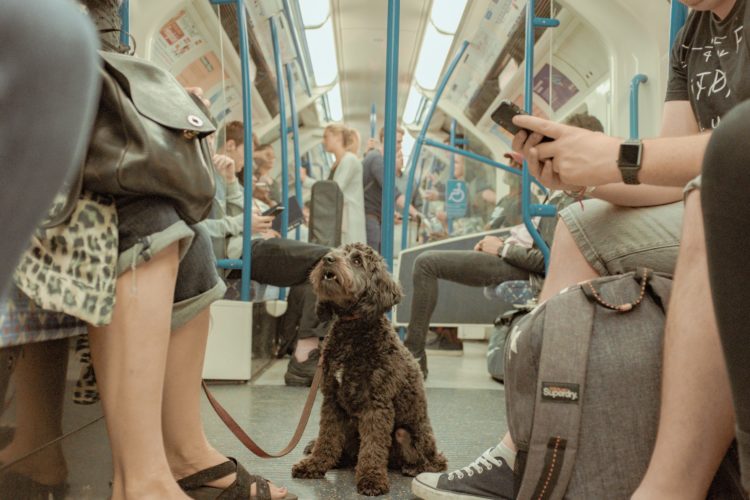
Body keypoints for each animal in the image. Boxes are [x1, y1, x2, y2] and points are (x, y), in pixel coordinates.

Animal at [292, 243, 446, 496]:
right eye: (336, 252)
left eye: (357, 261)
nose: (327, 259)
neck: (353, 330)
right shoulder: (332, 400)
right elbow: (327, 438)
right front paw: (315, 464)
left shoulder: (376, 404)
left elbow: (373, 447)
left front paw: (372, 479)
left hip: (408, 435)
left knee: (435, 461)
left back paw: (414, 468)